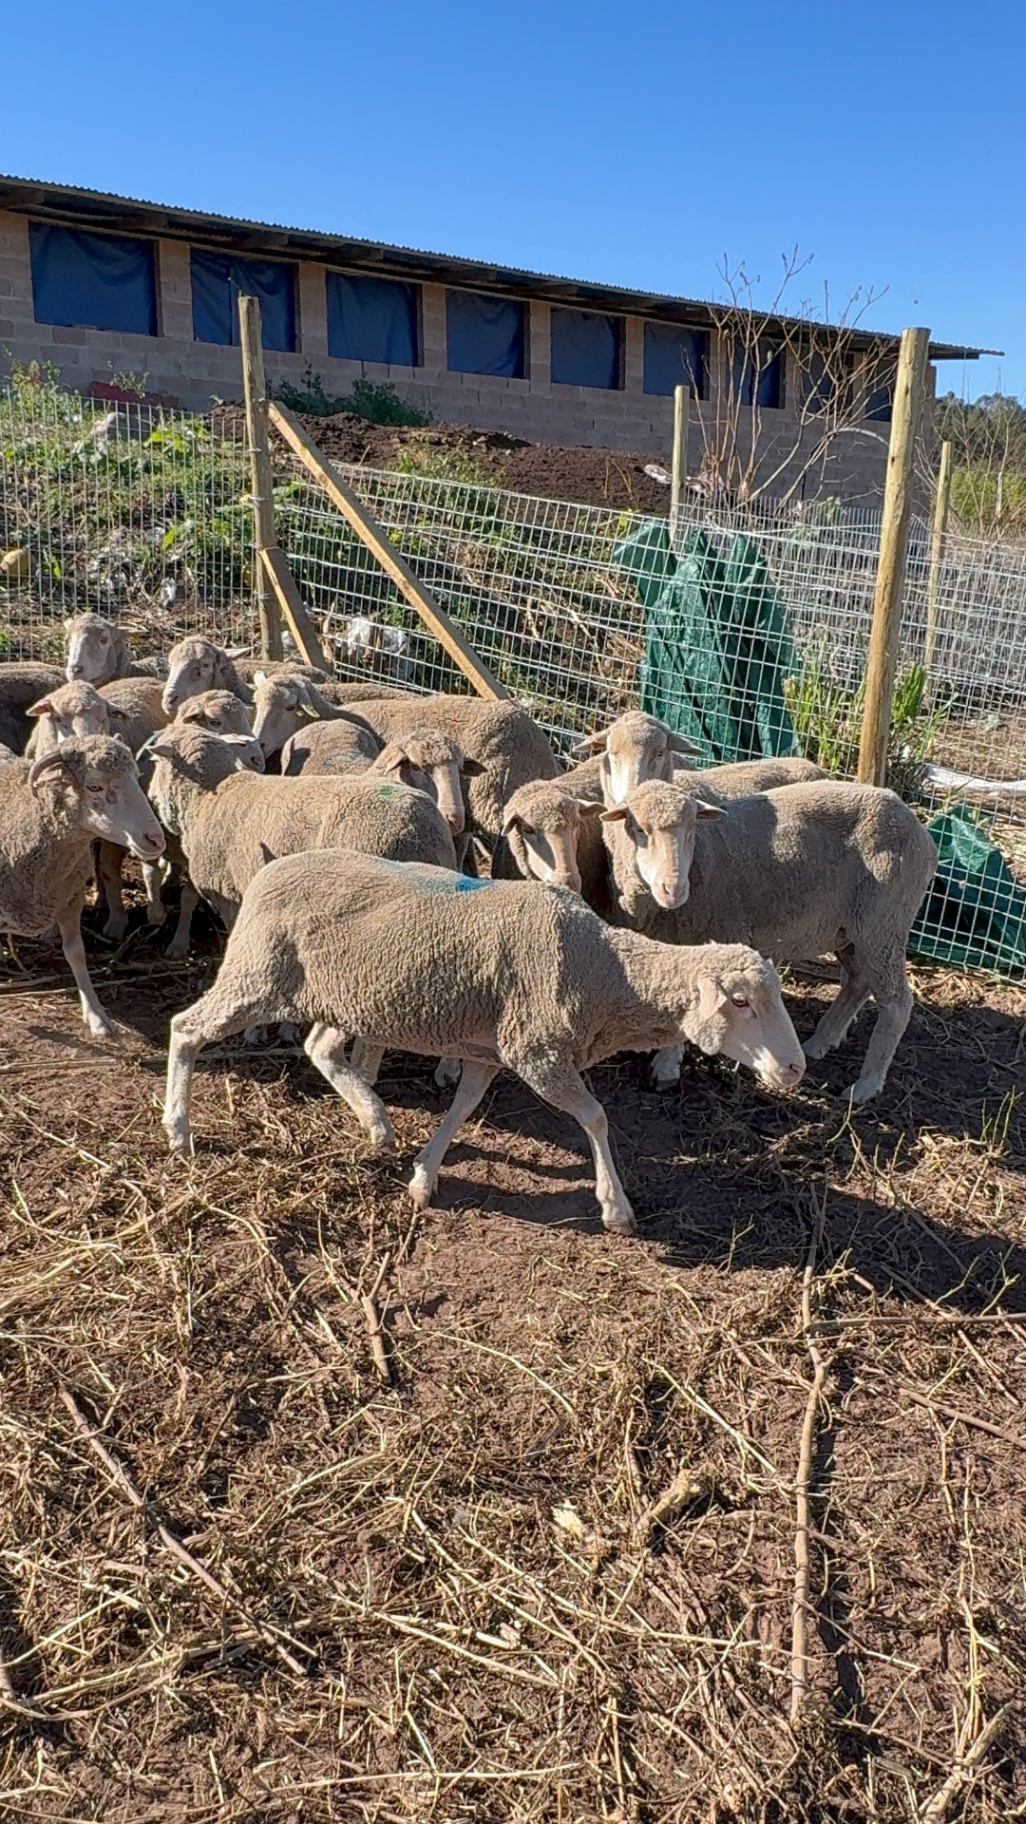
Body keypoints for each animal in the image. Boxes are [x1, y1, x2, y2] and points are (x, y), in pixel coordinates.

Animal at [0, 736, 164, 1038]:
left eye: (136, 778)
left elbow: (76, 952)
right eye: (94, 786)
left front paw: (97, 1016)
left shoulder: (71, 896)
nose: (156, 839)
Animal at [163, 853, 806, 1232]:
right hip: (257, 974)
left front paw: (423, 1176)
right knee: (186, 1029)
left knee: (321, 1047)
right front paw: (615, 1207)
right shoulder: (536, 1051)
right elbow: (596, 1117)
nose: (796, 1069)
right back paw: (179, 1131)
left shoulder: (494, 1052)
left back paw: (377, 1123)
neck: (606, 971)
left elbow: (464, 1107)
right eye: (740, 1003)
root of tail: (268, 871)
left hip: (339, 992)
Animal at [601, 777, 938, 1102]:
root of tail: (919, 829)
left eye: (691, 830)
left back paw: (866, 1085)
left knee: (897, 1003)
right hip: (851, 929)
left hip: (884, 922)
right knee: (857, 982)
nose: (674, 889)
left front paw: (666, 1066)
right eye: (639, 830)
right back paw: (819, 1042)